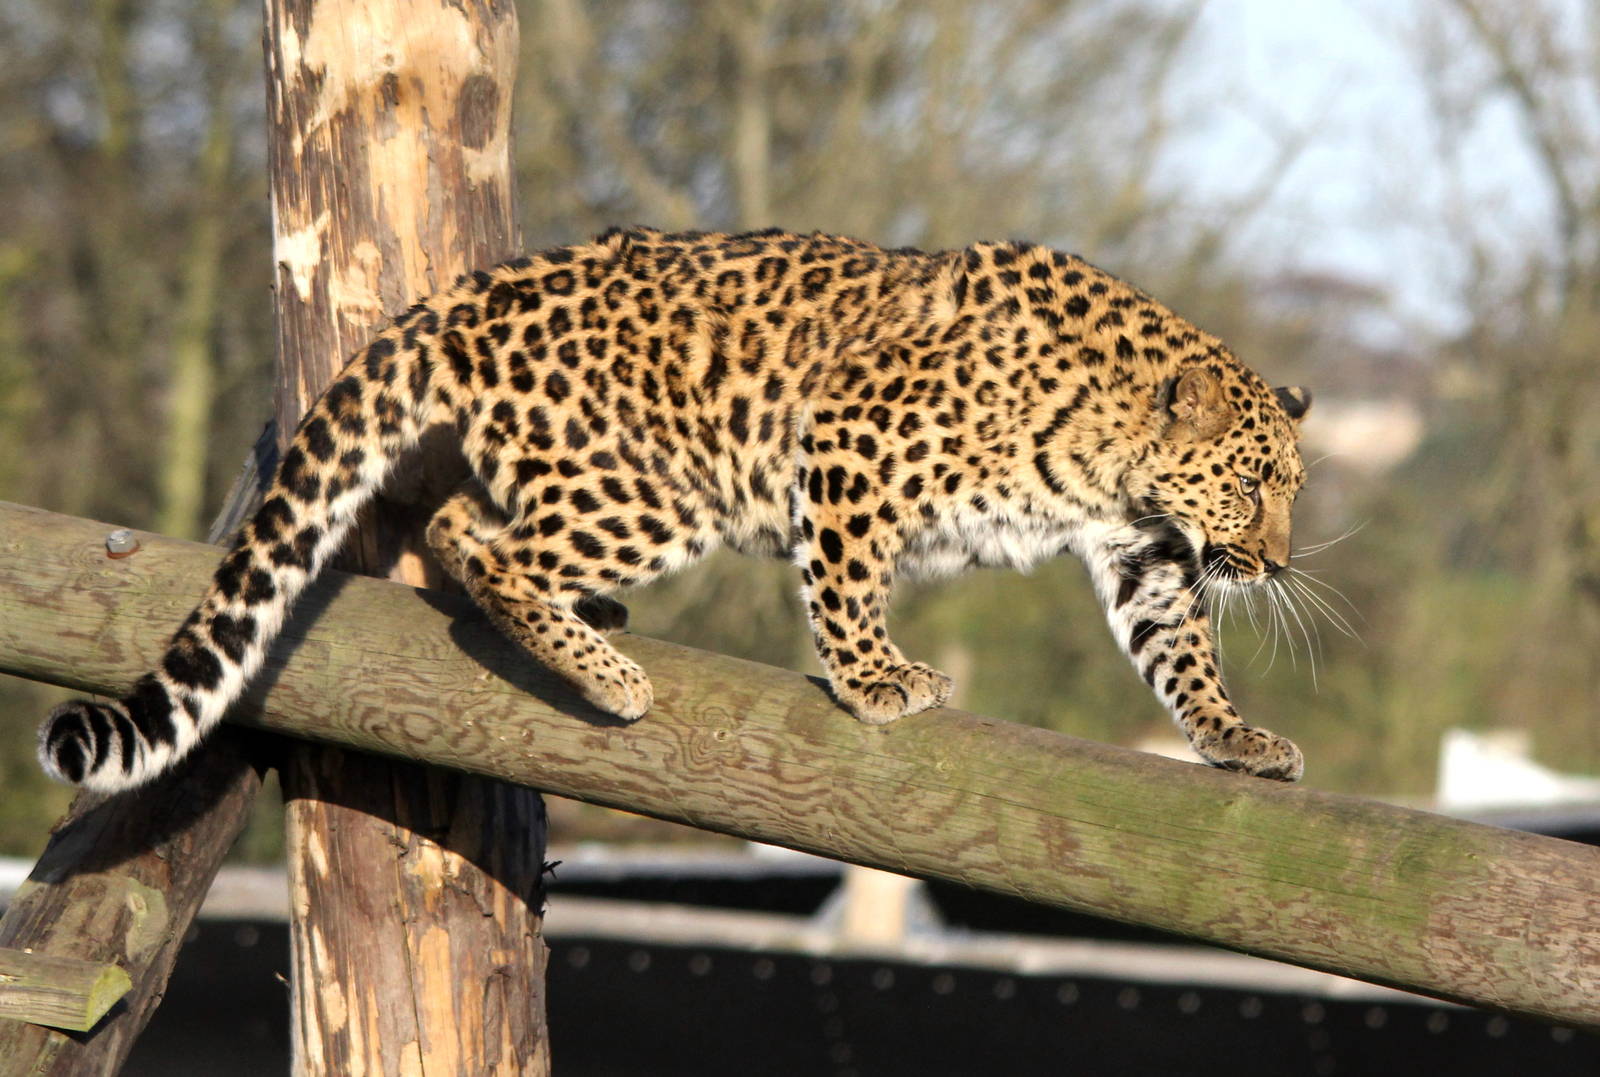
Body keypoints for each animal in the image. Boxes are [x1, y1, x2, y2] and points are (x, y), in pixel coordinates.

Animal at [39, 226, 1313, 794]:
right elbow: (847, 581)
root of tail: (464, 295)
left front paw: (1237, 738)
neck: (1116, 451)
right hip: (661, 488)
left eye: (1287, 492)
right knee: (503, 556)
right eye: (1256, 486)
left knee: (459, 525)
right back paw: (608, 678)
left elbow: (1177, 651)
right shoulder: (847, 438)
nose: (1271, 562)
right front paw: (878, 683)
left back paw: (585, 626)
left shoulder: (1146, 550)